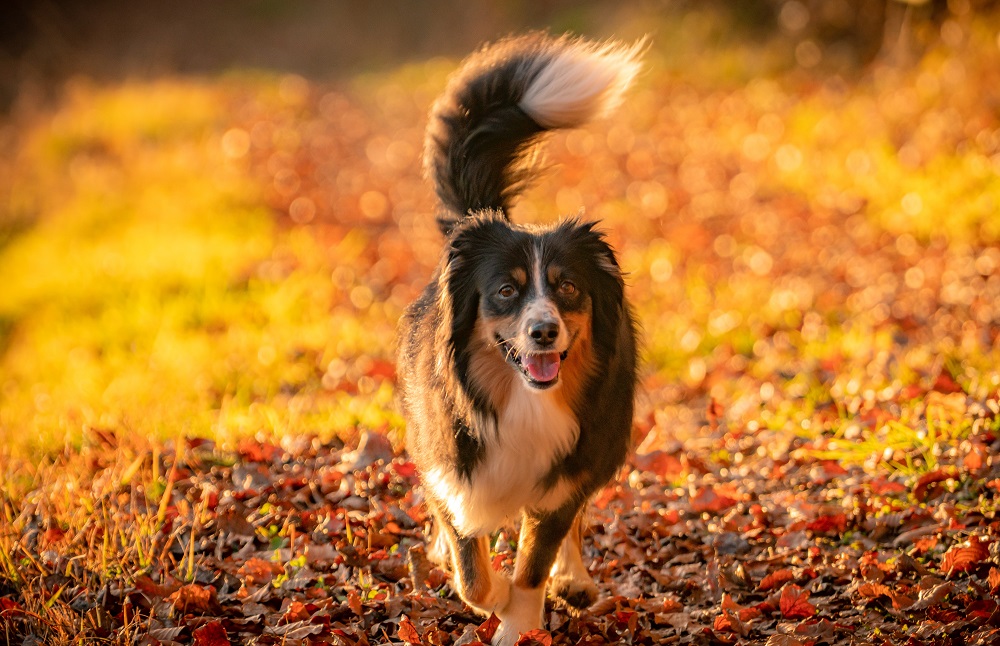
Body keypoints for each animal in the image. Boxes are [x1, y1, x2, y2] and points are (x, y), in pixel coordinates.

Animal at [396, 35, 640, 646]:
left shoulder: (567, 473)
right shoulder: (451, 468)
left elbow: (535, 560)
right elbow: (472, 573)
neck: (520, 400)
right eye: (506, 291)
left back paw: (573, 580)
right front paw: (494, 594)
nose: (543, 330)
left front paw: (519, 617)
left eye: (568, 287)